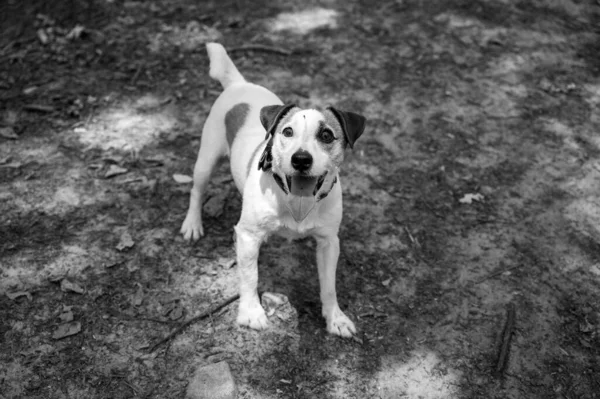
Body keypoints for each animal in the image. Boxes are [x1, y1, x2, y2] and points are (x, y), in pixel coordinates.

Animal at [180, 43, 366, 338]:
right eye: (287, 132)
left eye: (326, 135)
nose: (300, 160)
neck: (291, 201)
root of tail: (240, 84)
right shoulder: (247, 236)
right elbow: (249, 276)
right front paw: (251, 312)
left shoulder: (329, 242)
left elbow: (329, 285)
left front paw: (335, 317)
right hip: (207, 159)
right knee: (196, 190)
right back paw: (192, 224)